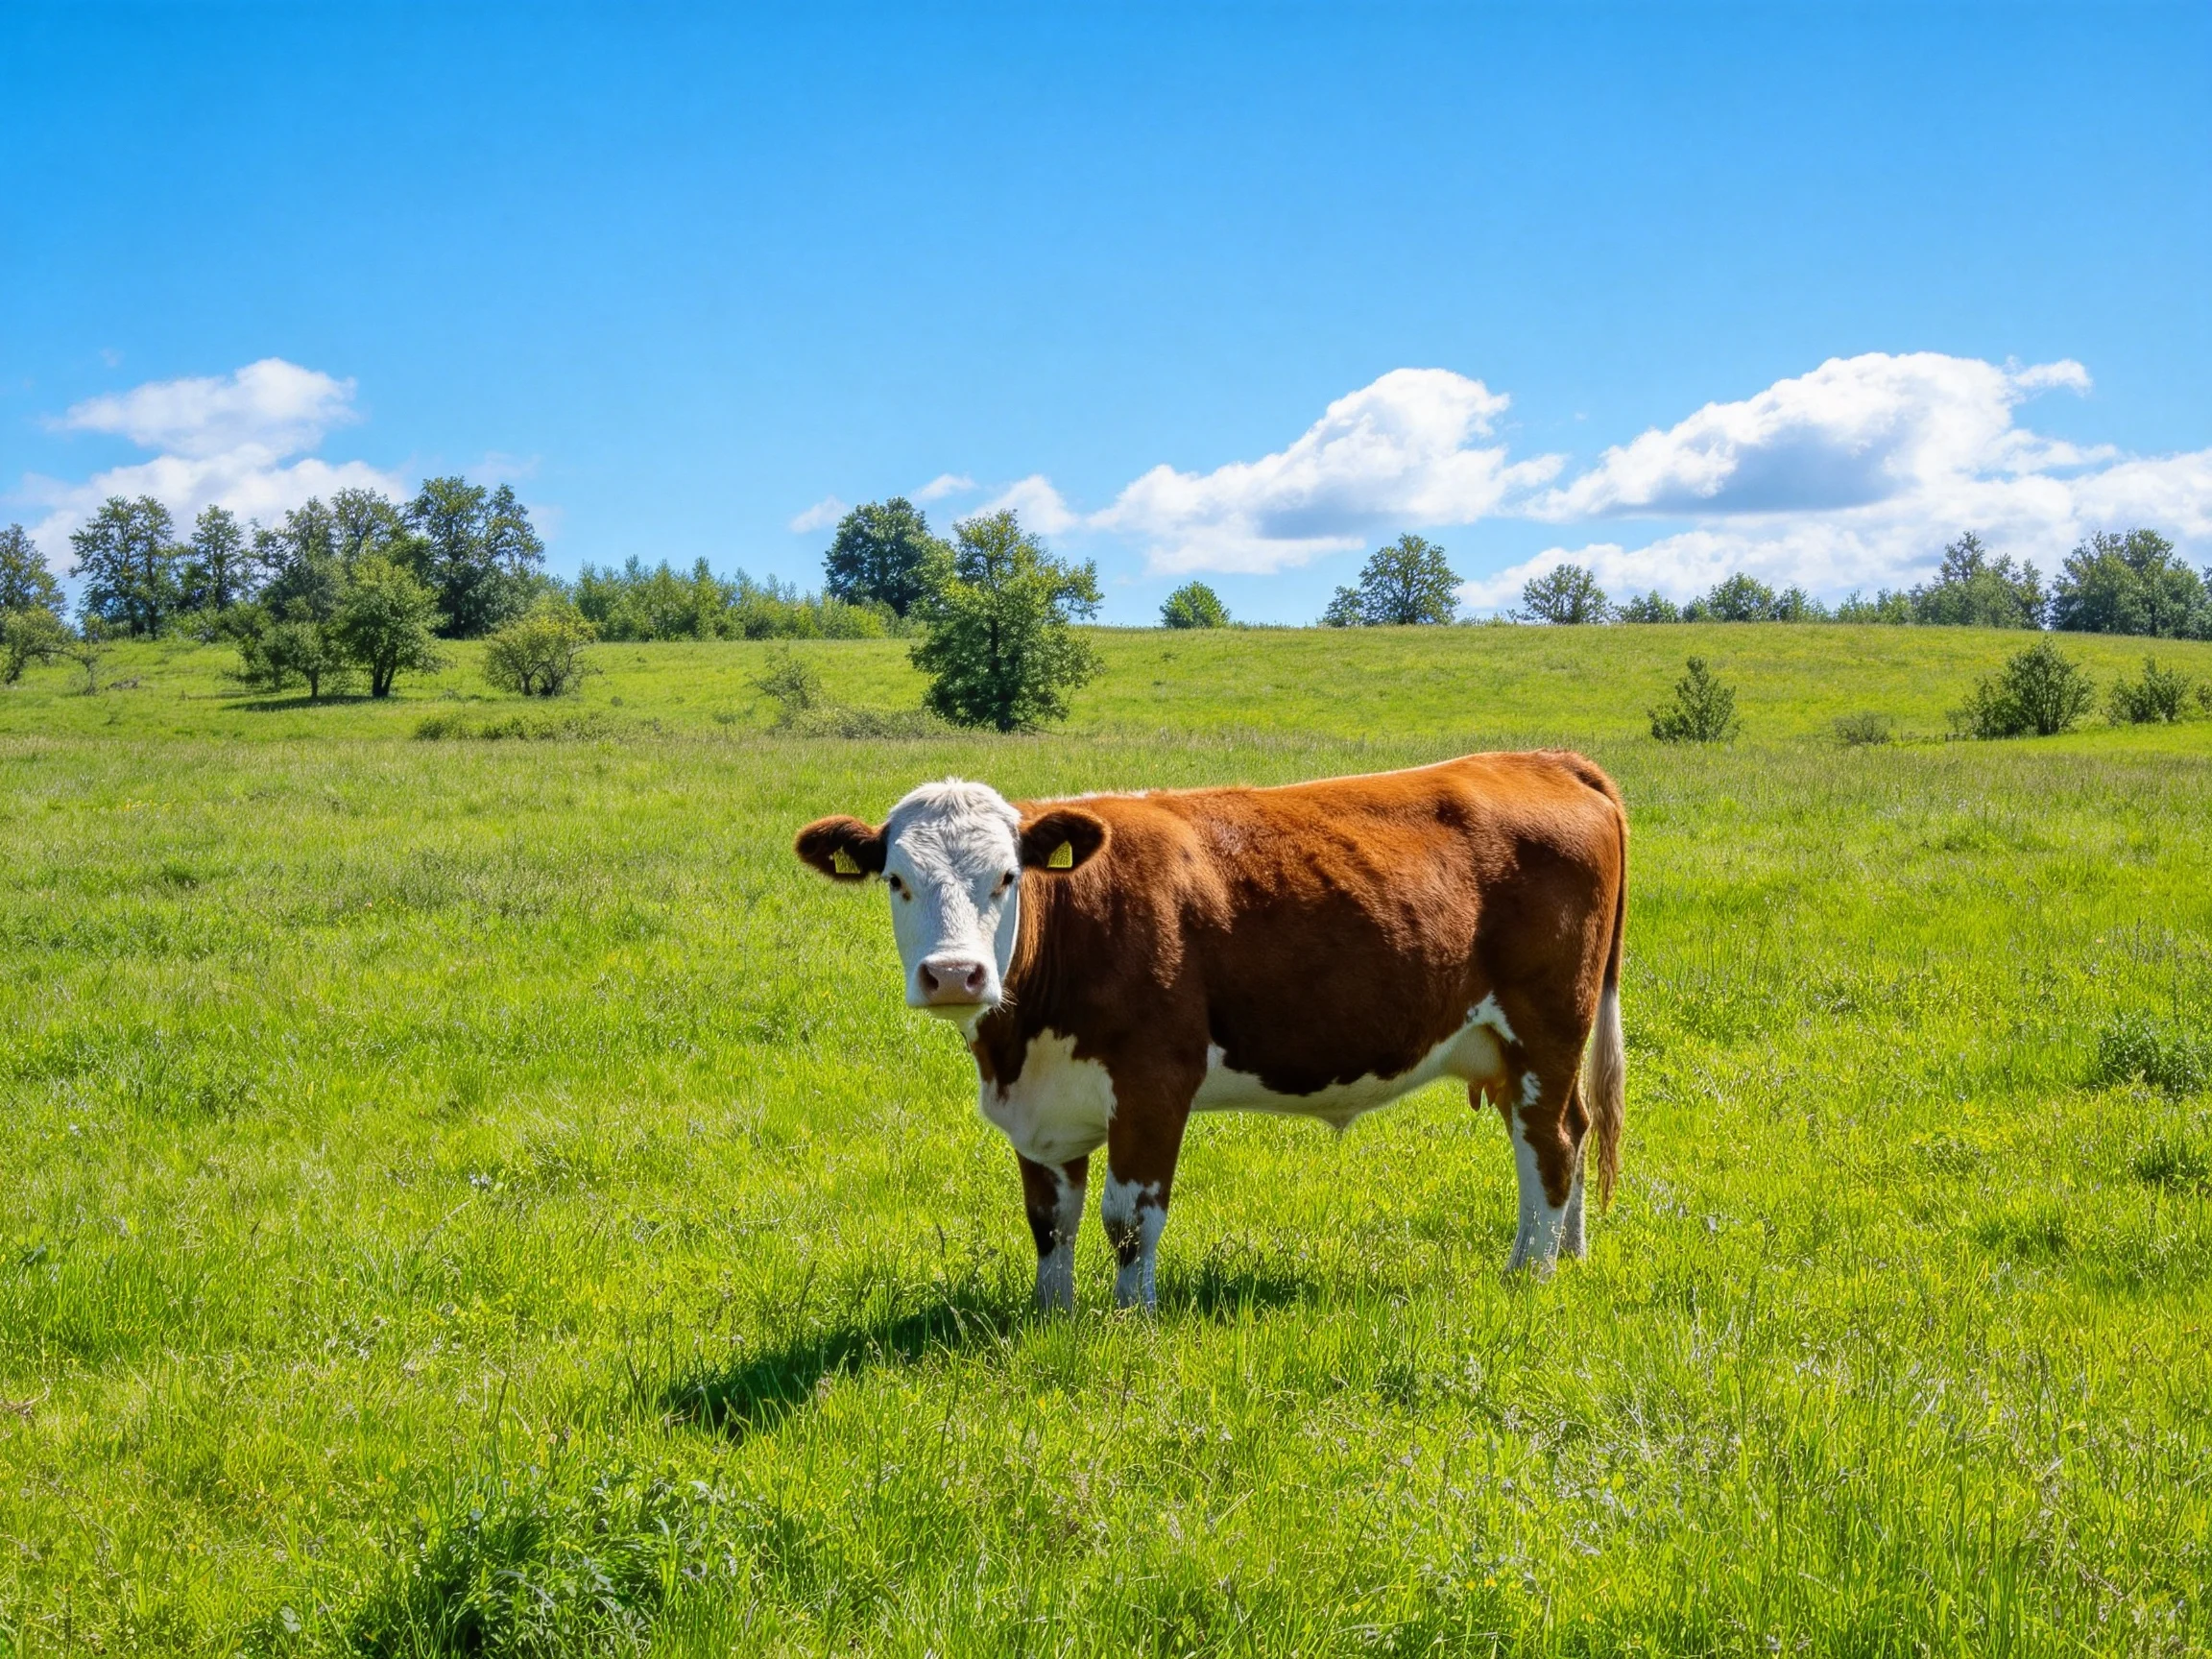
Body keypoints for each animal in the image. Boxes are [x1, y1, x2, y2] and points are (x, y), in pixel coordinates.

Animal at [794, 751, 1627, 1311]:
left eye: (1007, 878)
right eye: (895, 879)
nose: (954, 974)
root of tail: (1540, 758)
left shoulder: (1154, 1083)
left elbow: (1128, 1220)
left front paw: (1129, 1323)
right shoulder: (1039, 1108)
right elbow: (1049, 1221)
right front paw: (1050, 1318)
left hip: (1547, 1025)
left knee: (1548, 1145)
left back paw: (1530, 1274)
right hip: (1523, 1047)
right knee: (1574, 1128)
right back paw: (1573, 1254)